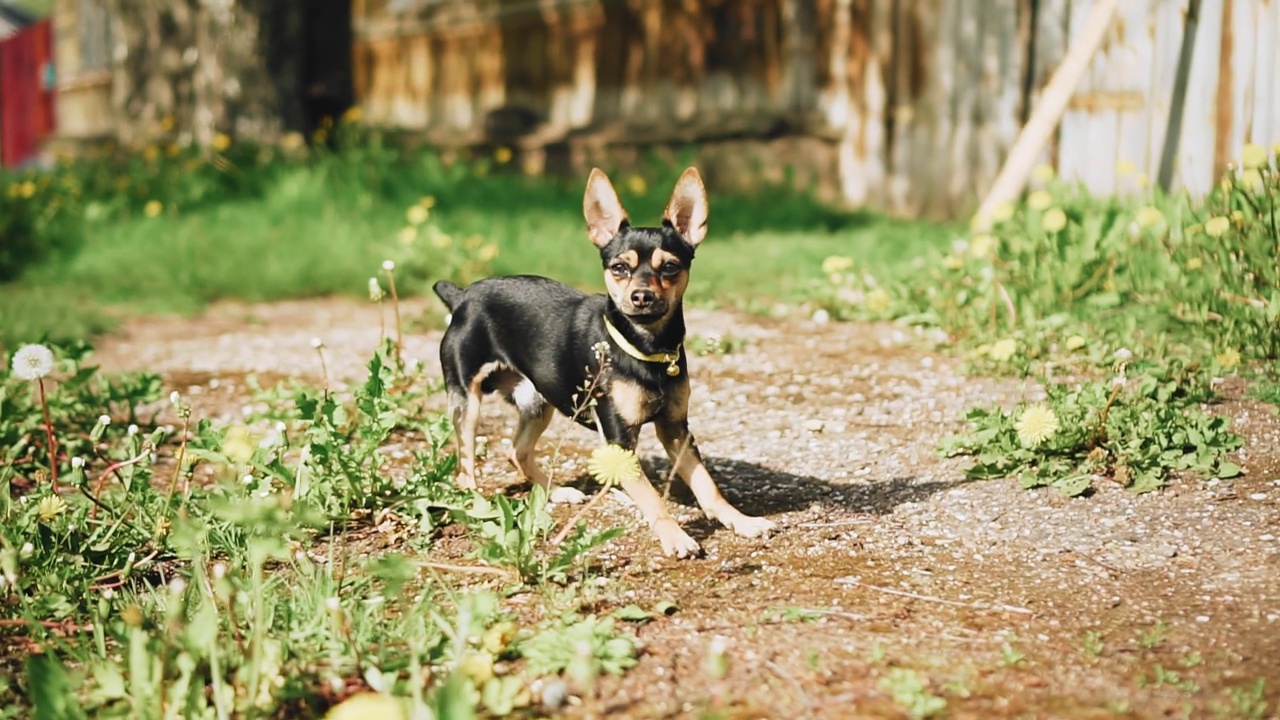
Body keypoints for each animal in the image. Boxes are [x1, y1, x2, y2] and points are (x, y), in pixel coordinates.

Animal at [430, 166, 773, 556]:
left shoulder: (676, 429)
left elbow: (706, 484)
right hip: (467, 404)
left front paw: (740, 520)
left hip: (537, 402)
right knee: (466, 467)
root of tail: (463, 297)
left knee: (517, 452)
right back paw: (476, 503)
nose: (642, 296)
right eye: (619, 267)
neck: (644, 348)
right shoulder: (619, 441)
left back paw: (554, 491)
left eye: (670, 267)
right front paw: (675, 536)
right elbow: (653, 498)